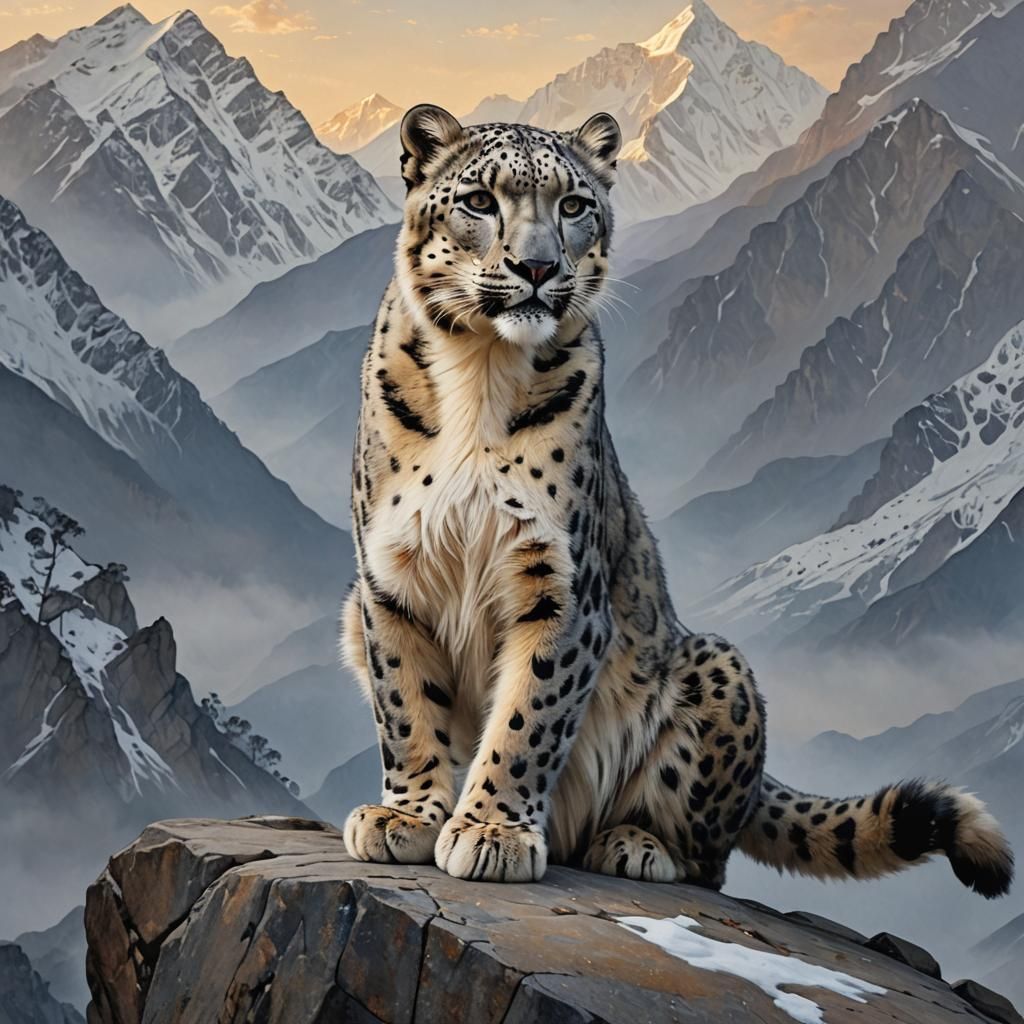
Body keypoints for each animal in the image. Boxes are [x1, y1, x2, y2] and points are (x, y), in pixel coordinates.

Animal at [340, 103, 1014, 897]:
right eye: (479, 200)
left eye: (574, 206)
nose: (537, 267)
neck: (482, 368)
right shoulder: (390, 579)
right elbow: (408, 707)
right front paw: (408, 816)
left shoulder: (560, 584)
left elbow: (527, 717)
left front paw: (492, 830)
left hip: (717, 672)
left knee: (708, 859)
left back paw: (634, 845)